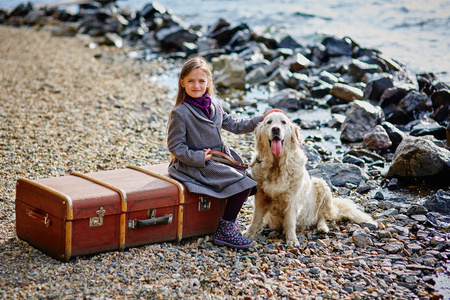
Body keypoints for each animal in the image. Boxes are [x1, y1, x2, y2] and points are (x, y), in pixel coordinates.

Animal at [243, 111, 376, 245]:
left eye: (283, 122)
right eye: (269, 122)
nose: (276, 129)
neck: (276, 165)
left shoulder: (292, 200)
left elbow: (290, 221)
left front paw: (292, 240)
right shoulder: (260, 197)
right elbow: (256, 218)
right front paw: (249, 233)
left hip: (320, 184)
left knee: (322, 215)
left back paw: (322, 227)